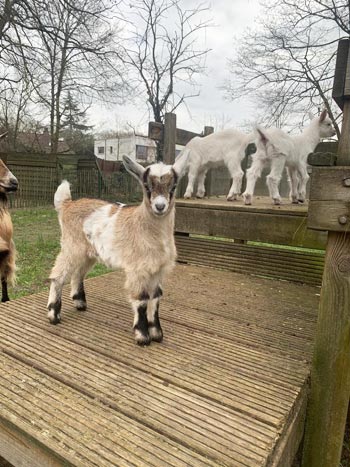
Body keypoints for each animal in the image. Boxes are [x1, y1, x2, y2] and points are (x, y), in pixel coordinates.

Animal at [47, 152, 189, 346]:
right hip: (71, 245)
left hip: (88, 252)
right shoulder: (137, 269)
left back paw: (80, 303)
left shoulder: (158, 270)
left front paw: (157, 334)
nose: (160, 206)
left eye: (173, 186)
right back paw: (53, 315)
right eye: (146, 186)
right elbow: (141, 299)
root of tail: (67, 204)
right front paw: (143, 337)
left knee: (78, 273)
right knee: (57, 275)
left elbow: (156, 298)